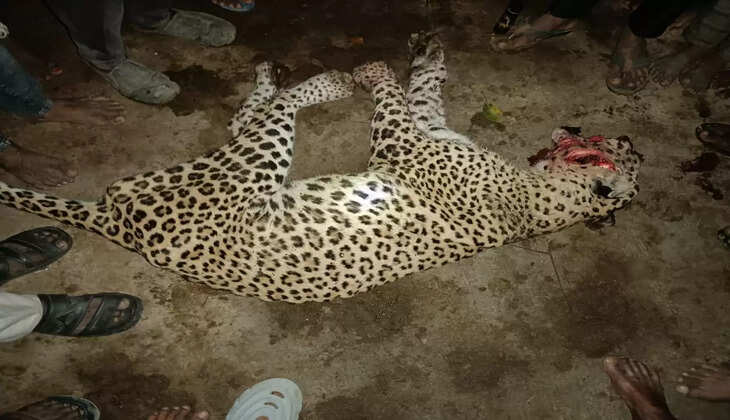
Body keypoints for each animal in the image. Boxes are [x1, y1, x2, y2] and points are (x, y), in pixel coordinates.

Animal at [0, 32, 642, 303]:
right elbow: (423, 90)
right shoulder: (428, 129)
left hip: (249, 167)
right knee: (250, 115)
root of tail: (117, 225)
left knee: (268, 116)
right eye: (623, 144)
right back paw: (275, 72)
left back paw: (323, 81)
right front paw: (426, 53)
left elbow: (391, 99)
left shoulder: (404, 147)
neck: (545, 195)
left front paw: (374, 70)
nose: (634, 138)